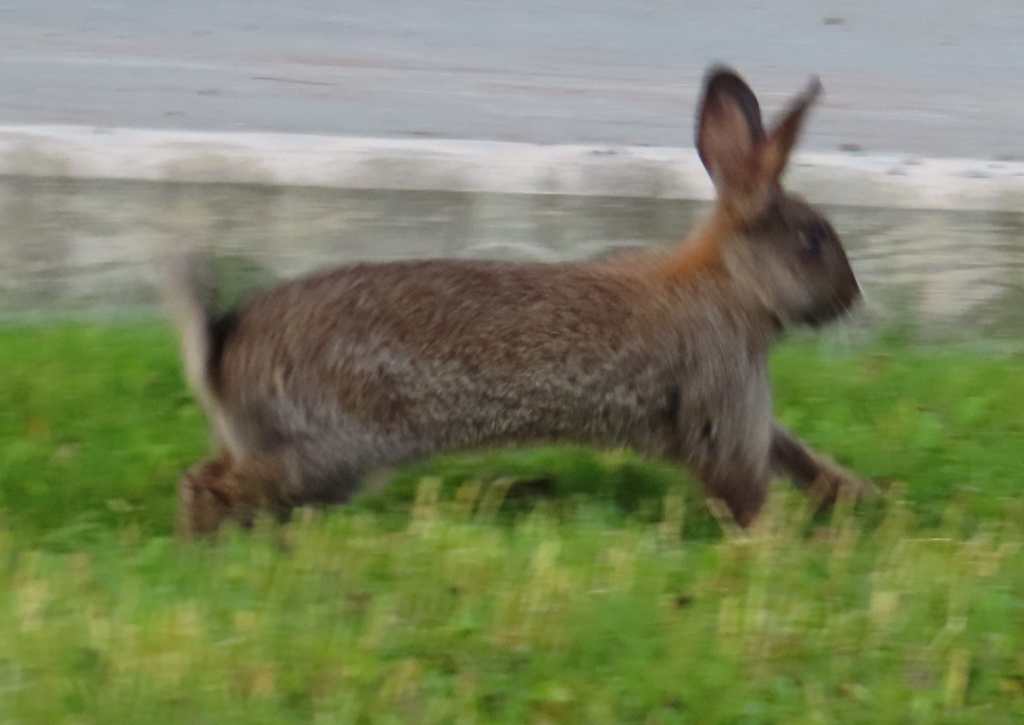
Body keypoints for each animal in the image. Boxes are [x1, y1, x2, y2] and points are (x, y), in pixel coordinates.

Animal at [163, 64, 870, 538]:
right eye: (812, 241)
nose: (851, 299)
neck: (730, 283)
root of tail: (221, 350)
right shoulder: (721, 396)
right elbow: (741, 482)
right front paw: (780, 544)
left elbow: (788, 451)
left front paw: (853, 495)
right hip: (329, 450)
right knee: (210, 483)